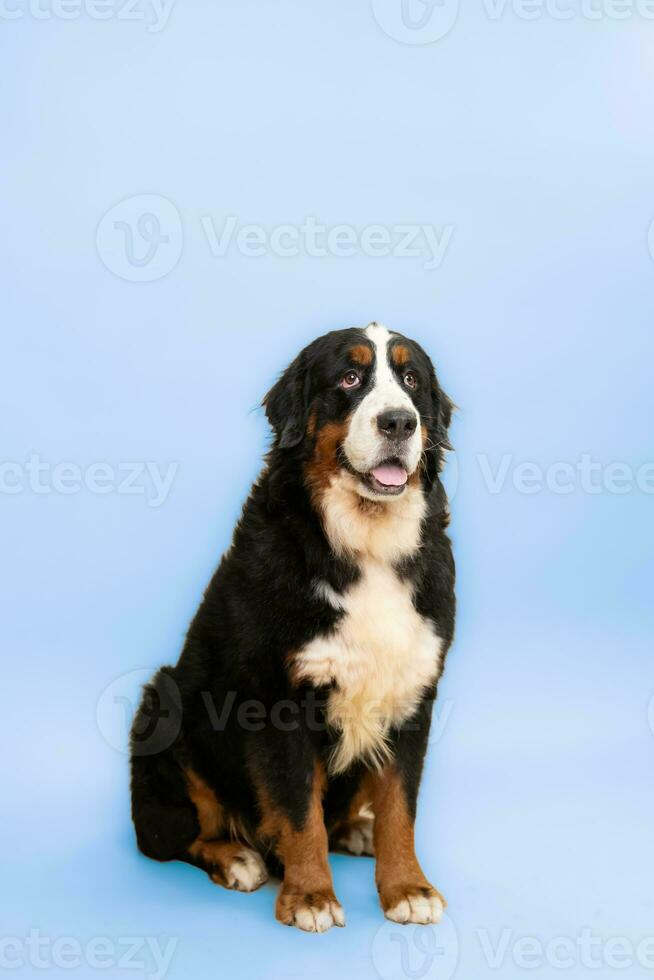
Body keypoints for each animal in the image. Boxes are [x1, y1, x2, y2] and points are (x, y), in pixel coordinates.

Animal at [129, 322, 456, 936]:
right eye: (349, 377)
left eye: (410, 380)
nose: (399, 422)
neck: (365, 546)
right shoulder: (278, 700)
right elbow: (301, 813)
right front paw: (310, 895)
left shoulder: (412, 693)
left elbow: (400, 808)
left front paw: (407, 888)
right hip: (164, 704)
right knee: (174, 838)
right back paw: (238, 857)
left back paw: (355, 830)